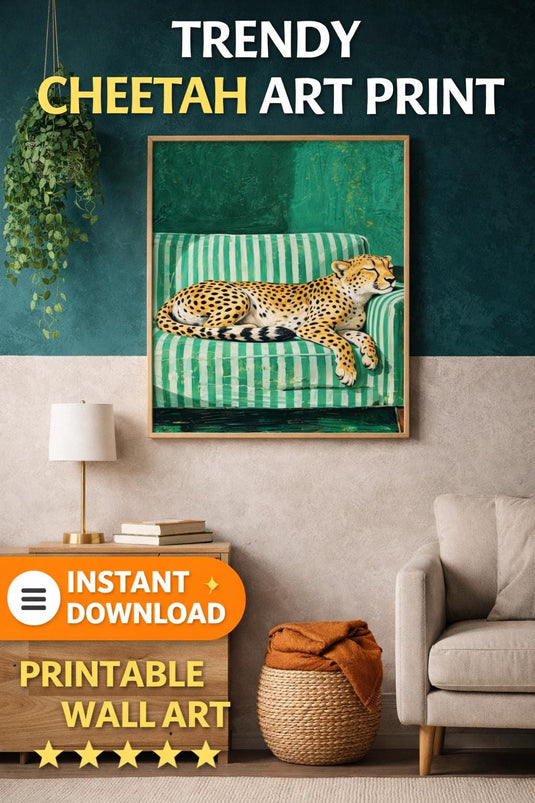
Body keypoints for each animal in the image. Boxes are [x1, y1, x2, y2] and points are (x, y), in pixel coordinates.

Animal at [155, 254, 395, 387]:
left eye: (389, 267)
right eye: (370, 268)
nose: (393, 279)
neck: (357, 296)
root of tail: (179, 292)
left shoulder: (342, 328)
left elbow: (363, 336)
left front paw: (371, 357)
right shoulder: (311, 326)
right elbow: (342, 343)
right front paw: (347, 370)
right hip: (240, 296)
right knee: (209, 327)